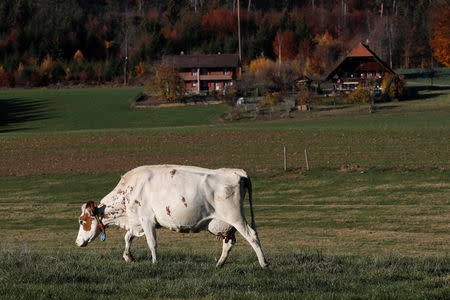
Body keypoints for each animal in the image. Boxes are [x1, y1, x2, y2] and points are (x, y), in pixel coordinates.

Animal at [75, 165, 268, 268]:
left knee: (252, 235)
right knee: (229, 243)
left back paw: (263, 263)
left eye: (82, 221)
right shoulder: (137, 222)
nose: (77, 242)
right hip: (226, 224)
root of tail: (238, 172)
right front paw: (128, 256)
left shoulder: (146, 219)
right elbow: (128, 237)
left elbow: (151, 243)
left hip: (235, 217)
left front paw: (154, 262)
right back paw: (219, 264)